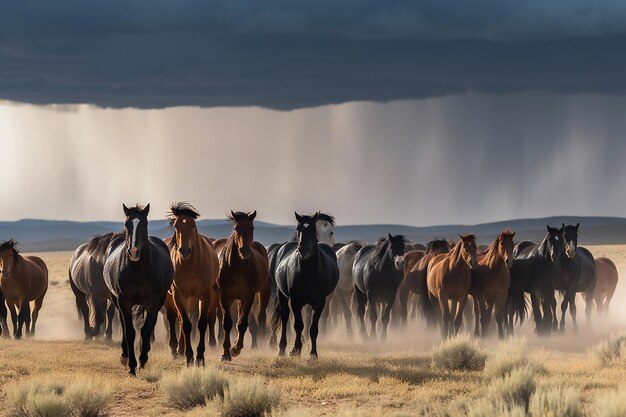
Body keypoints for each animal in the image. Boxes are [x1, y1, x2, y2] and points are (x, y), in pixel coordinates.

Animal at [103, 203, 173, 376]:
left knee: (149, 324)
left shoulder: (152, 302)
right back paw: (124, 355)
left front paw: (142, 361)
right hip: (116, 300)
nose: (133, 252)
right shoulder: (124, 302)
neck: (137, 269)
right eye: (126, 224)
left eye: (145, 224)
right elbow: (129, 331)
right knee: (123, 324)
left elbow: (146, 330)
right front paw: (131, 366)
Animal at [161, 202, 219, 364]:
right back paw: (176, 350)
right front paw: (189, 356)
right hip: (172, 298)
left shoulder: (205, 295)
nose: (184, 251)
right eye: (176, 225)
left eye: (193, 225)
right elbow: (186, 325)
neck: (192, 264)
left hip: (192, 298)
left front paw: (199, 357)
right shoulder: (178, 294)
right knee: (175, 319)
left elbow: (201, 323)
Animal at [212, 210, 268, 360]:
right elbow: (227, 323)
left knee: (259, 316)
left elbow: (242, 324)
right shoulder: (225, 296)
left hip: (262, 292)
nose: (245, 251)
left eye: (252, 228)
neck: (238, 268)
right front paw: (226, 353)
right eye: (236, 228)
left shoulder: (248, 296)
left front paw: (236, 349)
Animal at [268, 213, 336, 356]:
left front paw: (313, 354)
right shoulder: (296, 301)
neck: (308, 272)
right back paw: (281, 348)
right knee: (285, 318)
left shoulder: (319, 302)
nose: (303, 250)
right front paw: (296, 349)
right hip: (282, 296)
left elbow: (313, 327)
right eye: (298, 229)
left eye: (331, 232)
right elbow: (298, 325)